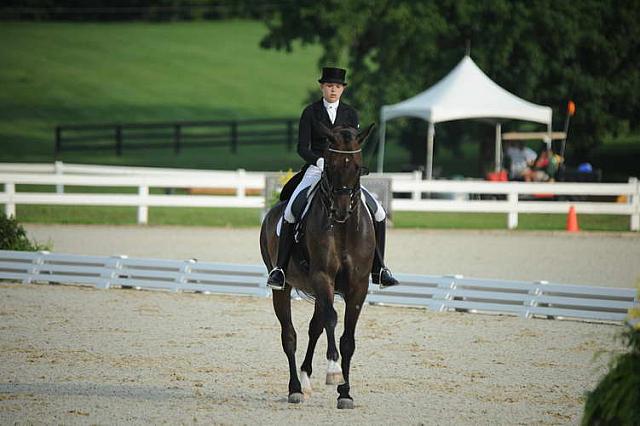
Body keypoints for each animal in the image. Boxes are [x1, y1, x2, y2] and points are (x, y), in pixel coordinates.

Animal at [258, 123, 378, 410]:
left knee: (315, 327)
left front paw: (345, 393)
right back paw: (295, 388)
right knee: (289, 335)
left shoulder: (358, 286)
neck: (343, 229)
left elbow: (347, 338)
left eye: (357, 166)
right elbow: (332, 319)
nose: (341, 211)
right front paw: (333, 372)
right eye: (330, 165)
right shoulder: (323, 277)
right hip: (284, 286)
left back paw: (306, 379)